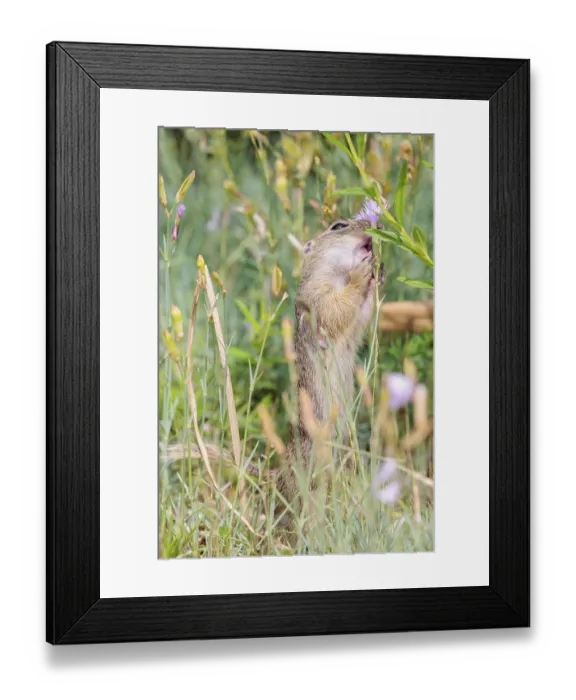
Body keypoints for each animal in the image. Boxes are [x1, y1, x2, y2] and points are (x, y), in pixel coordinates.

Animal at [165, 217, 385, 527]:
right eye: (339, 225)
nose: (373, 225)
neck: (335, 275)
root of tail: (277, 477)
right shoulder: (318, 296)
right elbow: (336, 309)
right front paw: (362, 272)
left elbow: (360, 317)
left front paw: (378, 274)